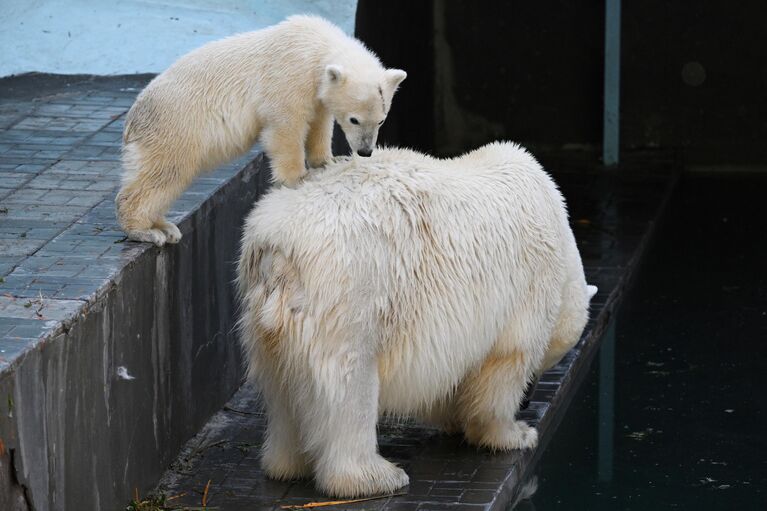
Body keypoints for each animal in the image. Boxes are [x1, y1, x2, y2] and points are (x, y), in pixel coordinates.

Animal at [115, 15, 408, 246]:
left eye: (381, 121)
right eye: (355, 120)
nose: (365, 151)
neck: (316, 45)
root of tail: (132, 119)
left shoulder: (316, 89)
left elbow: (319, 123)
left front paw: (327, 161)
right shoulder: (289, 75)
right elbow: (285, 127)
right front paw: (298, 177)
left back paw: (164, 226)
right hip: (176, 126)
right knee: (165, 171)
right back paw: (147, 231)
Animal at [237, 142, 596, 498]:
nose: (528, 400)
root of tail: (278, 246)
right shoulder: (528, 282)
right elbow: (506, 360)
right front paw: (515, 433)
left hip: (266, 313)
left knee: (281, 387)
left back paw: (286, 464)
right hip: (349, 294)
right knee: (350, 388)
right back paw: (376, 477)